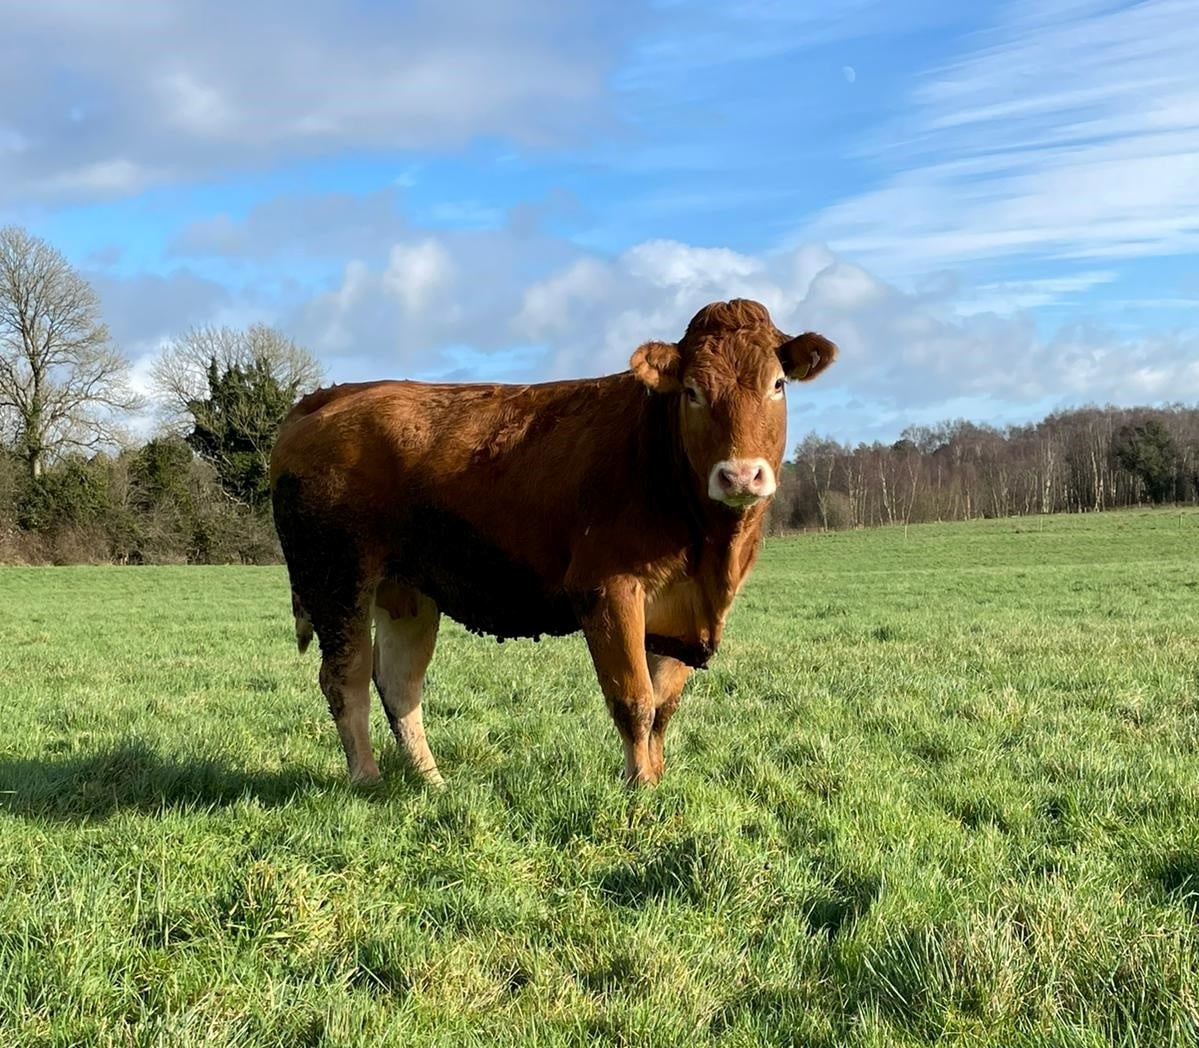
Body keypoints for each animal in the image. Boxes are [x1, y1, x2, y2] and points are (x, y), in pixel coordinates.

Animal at [270, 293, 834, 786]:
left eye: (777, 384)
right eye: (693, 391)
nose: (739, 476)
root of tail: (332, 395)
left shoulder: (679, 613)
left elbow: (663, 707)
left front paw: (658, 779)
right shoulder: (607, 589)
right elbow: (634, 700)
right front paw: (640, 790)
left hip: (407, 590)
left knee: (400, 684)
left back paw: (433, 783)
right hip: (335, 577)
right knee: (346, 679)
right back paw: (367, 780)